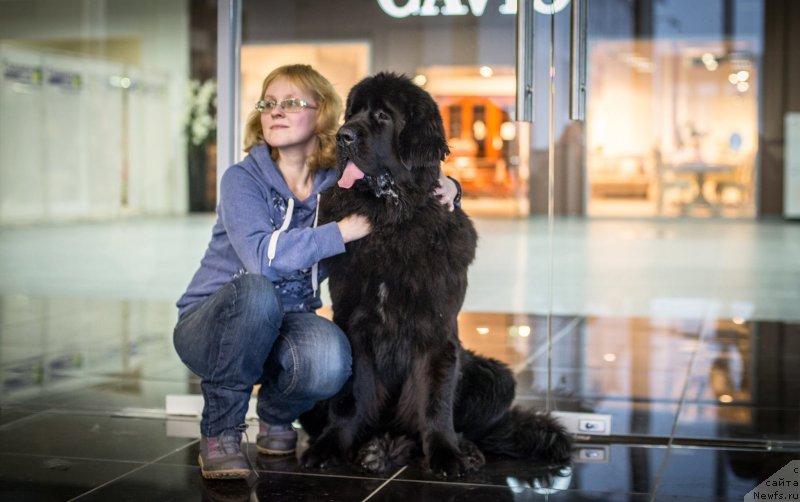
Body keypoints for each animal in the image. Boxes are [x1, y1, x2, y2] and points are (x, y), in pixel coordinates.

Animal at [298, 72, 568, 476]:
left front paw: (444, 453)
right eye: (352, 112)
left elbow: (435, 401)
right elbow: (348, 398)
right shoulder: (351, 325)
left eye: (382, 115)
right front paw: (330, 447)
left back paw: (458, 449)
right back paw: (377, 448)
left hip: (496, 377)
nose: (342, 136)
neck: (393, 221)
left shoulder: (437, 331)